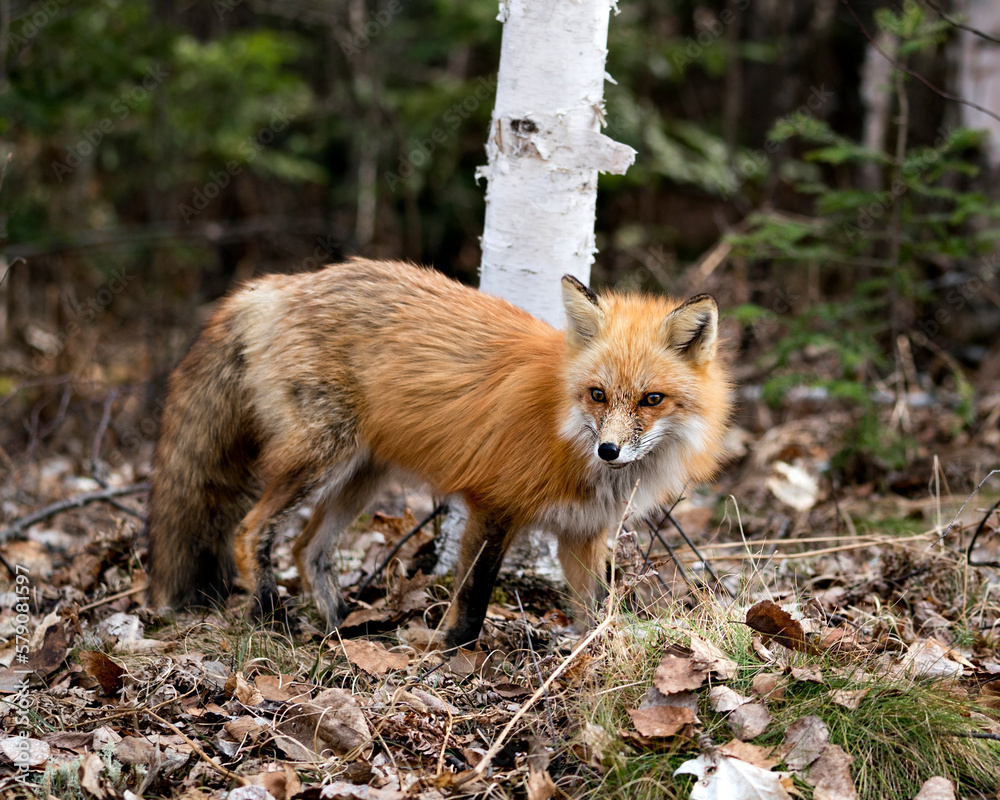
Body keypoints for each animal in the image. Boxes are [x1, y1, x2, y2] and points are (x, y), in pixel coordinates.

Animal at [146, 258, 731, 648]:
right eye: (598, 394)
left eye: (652, 399)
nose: (610, 450)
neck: (565, 430)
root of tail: (276, 285)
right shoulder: (494, 505)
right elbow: (472, 600)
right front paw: (446, 653)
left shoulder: (582, 535)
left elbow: (600, 609)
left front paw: (597, 656)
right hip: (321, 458)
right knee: (251, 531)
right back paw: (272, 618)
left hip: (362, 477)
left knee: (307, 548)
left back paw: (341, 627)